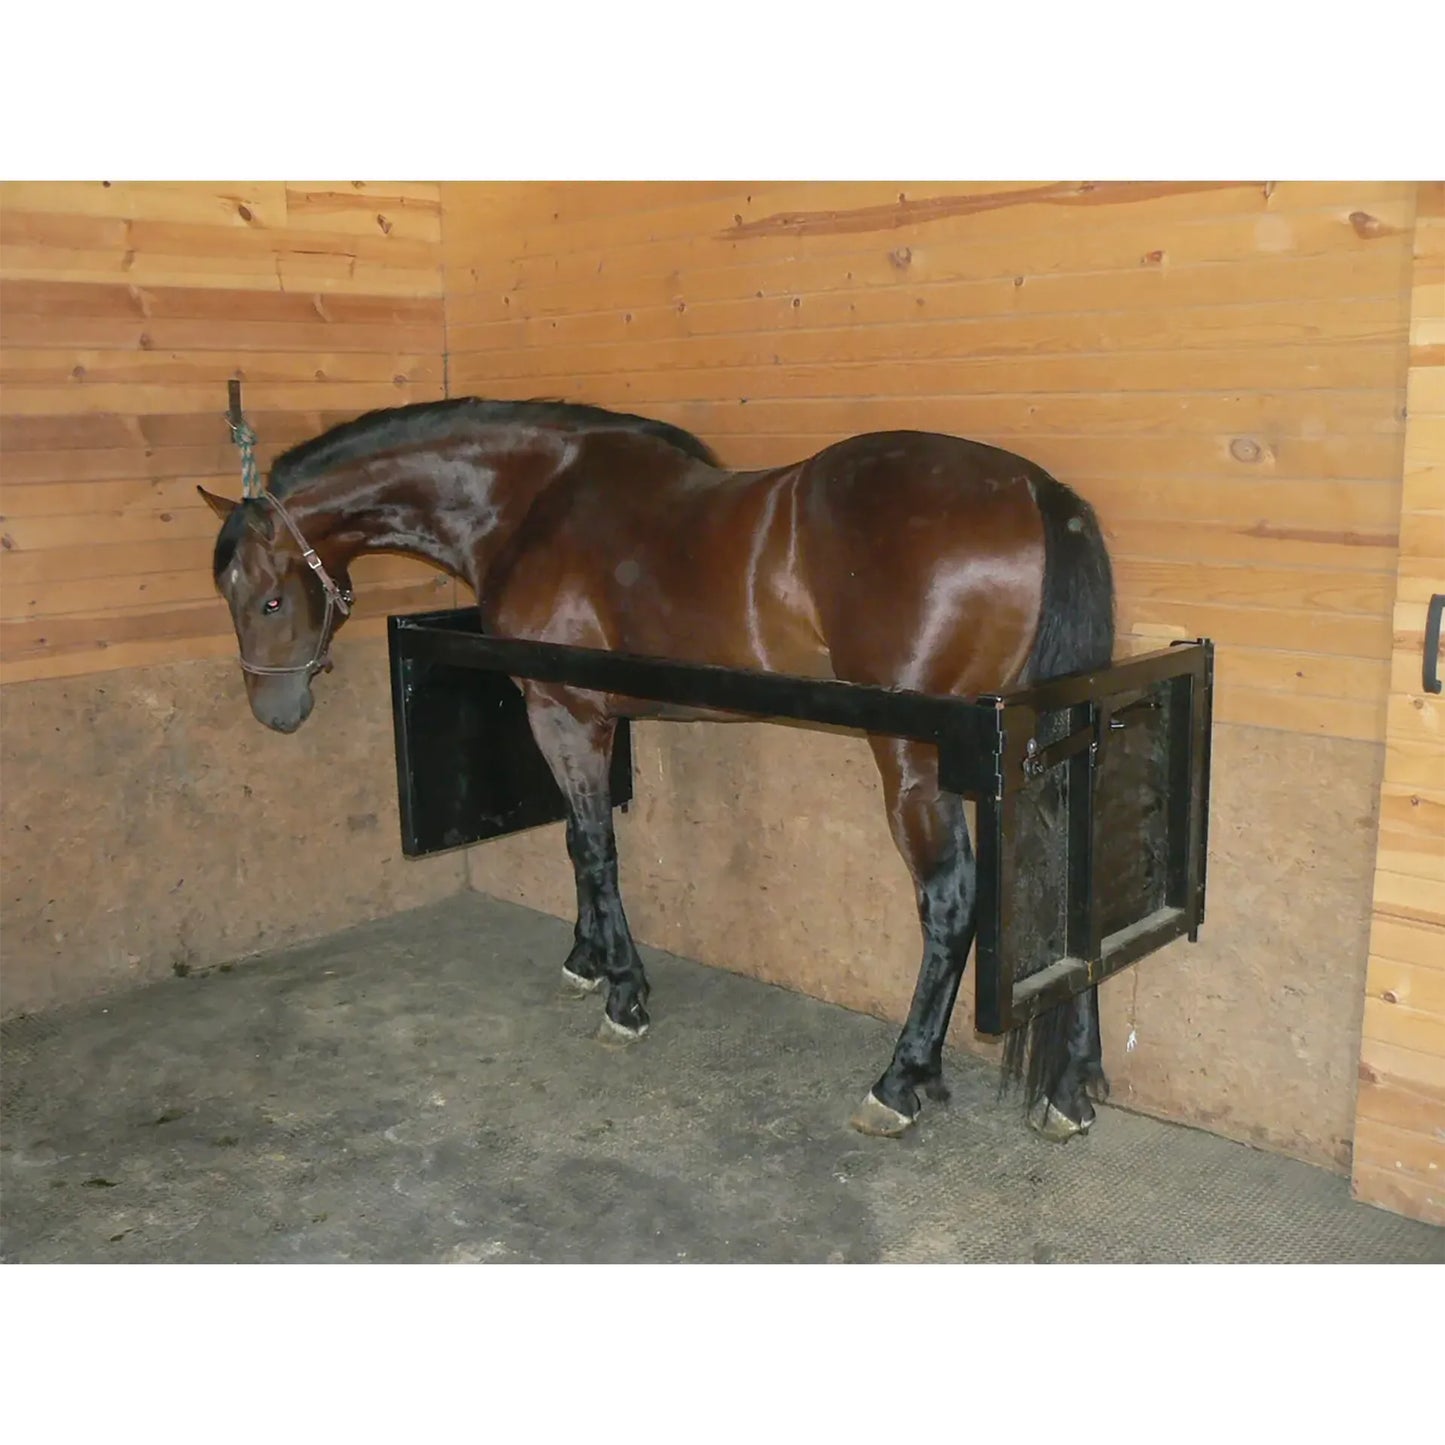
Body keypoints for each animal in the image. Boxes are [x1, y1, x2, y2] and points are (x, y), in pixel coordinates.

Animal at [201, 396, 1115, 1143]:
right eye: (230, 595)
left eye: (270, 598)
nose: (274, 711)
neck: (531, 500)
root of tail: (1034, 490)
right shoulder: (586, 715)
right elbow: (581, 842)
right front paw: (586, 958)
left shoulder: (563, 710)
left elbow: (593, 846)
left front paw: (623, 994)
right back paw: (1068, 1088)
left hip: (912, 760)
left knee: (949, 900)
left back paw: (899, 1081)